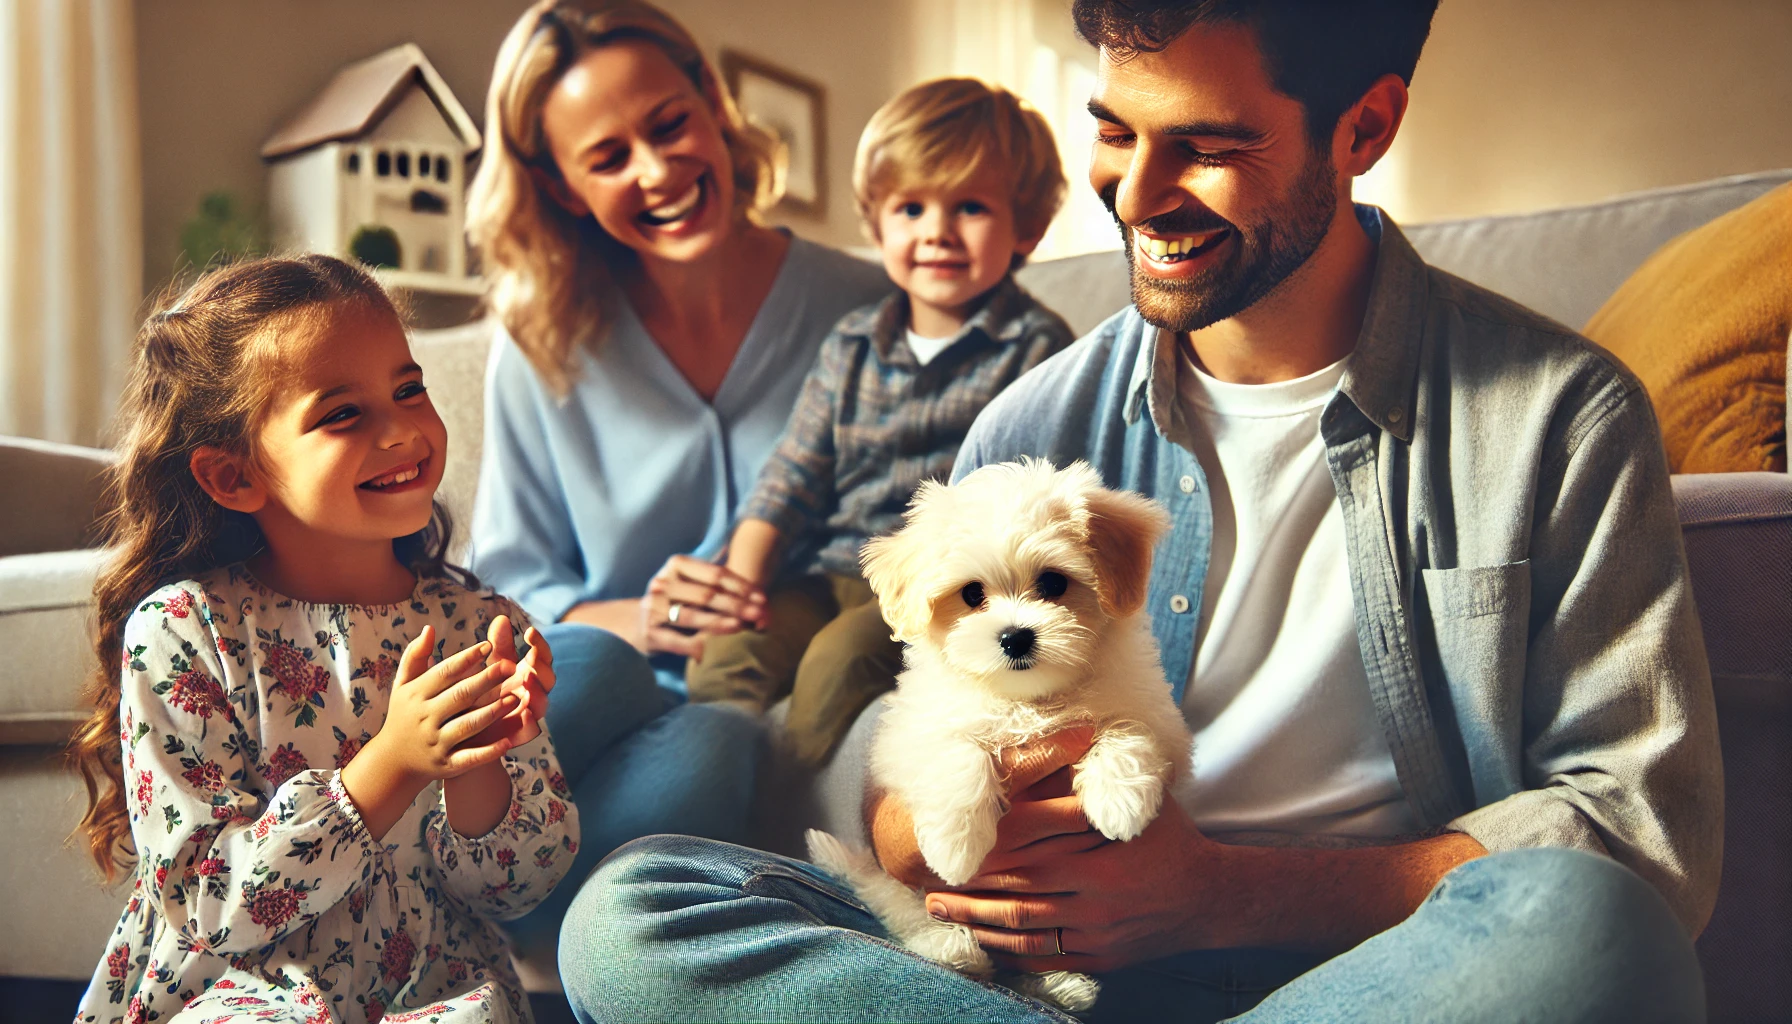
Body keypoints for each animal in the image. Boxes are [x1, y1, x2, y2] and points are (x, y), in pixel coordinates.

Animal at [809, 459, 1189, 1011]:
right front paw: (957, 845)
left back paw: (1061, 983)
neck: (1026, 698)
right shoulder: (909, 738)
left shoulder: (1159, 719)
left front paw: (1121, 803)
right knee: (910, 913)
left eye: (1053, 583)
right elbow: (956, 752)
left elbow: (1127, 728)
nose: (1015, 636)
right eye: (972, 594)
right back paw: (951, 948)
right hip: (905, 892)